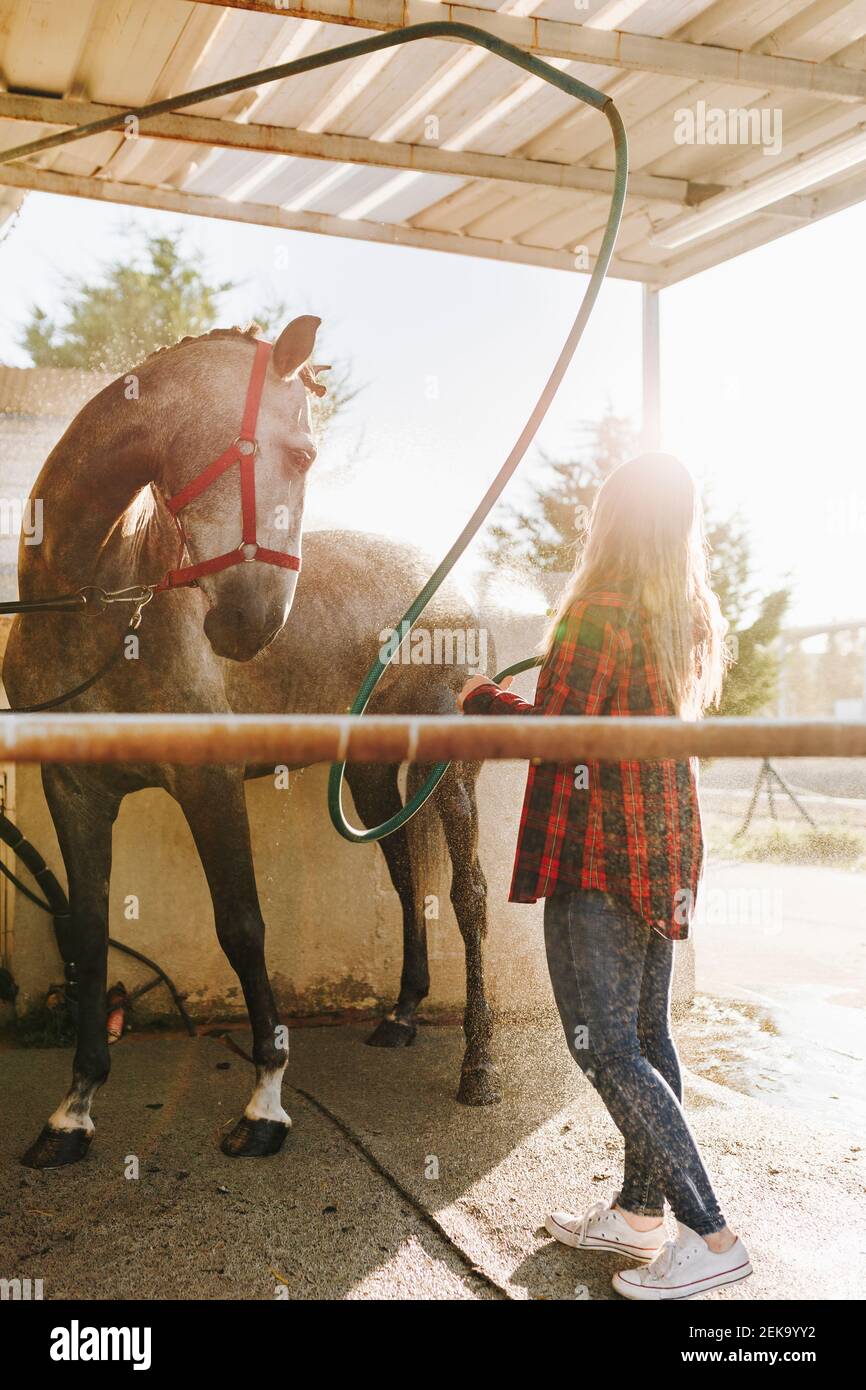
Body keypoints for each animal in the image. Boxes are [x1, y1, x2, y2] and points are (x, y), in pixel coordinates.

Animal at [1, 319, 500, 1167]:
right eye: (301, 454)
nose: (251, 625)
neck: (94, 604)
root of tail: (449, 587)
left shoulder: (209, 783)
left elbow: (241, 927)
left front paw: (265, 1104)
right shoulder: (74, 792)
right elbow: (90, 933)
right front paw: (73, 1113)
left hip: (451, 768)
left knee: (468, 897)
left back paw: (479, 1067)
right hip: (371, 778)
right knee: (405, 879)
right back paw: (401, 1015)